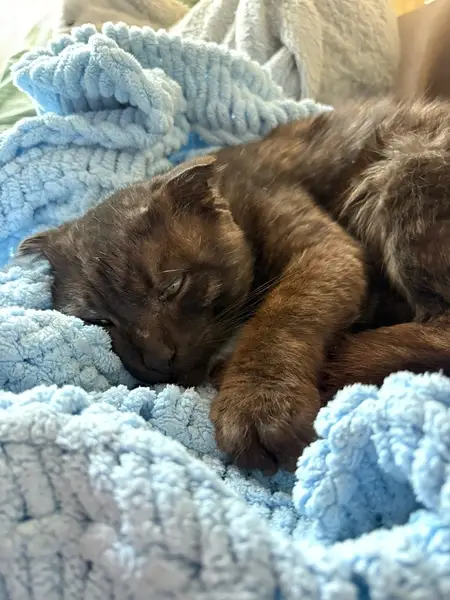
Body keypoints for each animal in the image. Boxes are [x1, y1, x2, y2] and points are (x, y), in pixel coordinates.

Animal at [18, 97, 450, 473]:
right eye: (100, 320)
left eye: (172, 287)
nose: (157, 357)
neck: (233, 191)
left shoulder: (325, 251)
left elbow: (283, 315)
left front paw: (257, 405)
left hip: (404, 169)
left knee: (438, 330)